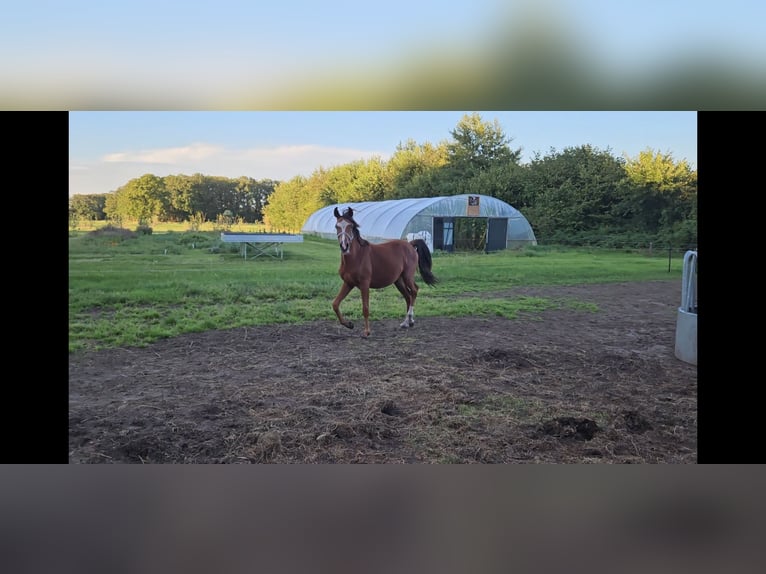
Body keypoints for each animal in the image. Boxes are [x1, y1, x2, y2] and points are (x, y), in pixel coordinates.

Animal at [332, 209, 438, 340]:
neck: (356, 257)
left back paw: (410, 319)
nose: (344, 246)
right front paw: (349, 324)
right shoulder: (348, 283)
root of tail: (410, 244)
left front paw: (367, 332)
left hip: (407, 276)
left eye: (350, 226)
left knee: (414, 290)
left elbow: (365, 308)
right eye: (337, 226)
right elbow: (335, 304)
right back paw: (406, 322)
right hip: (398, 281)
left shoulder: (364, 284)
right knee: (408, 296)